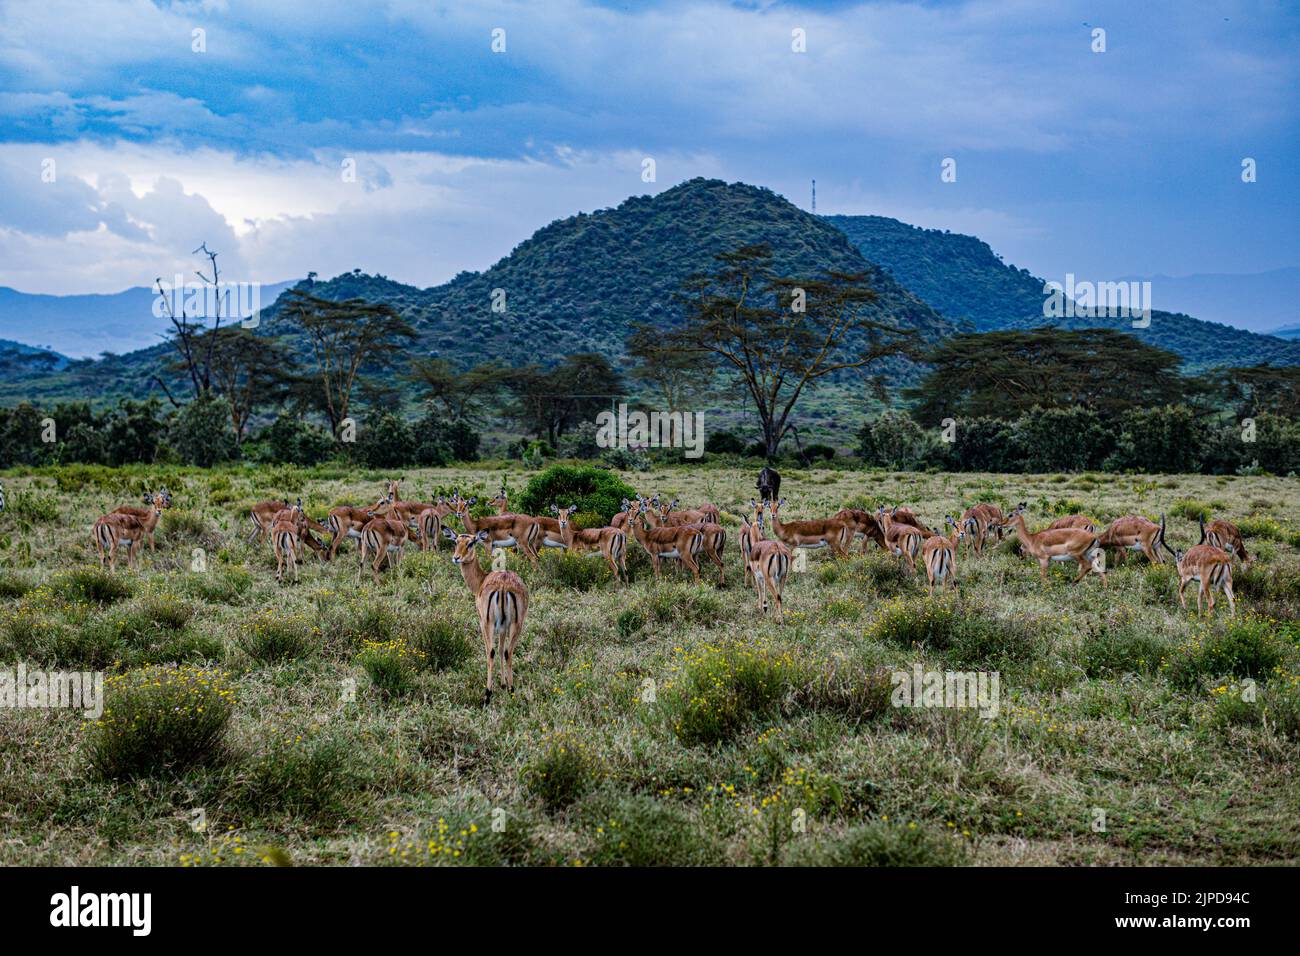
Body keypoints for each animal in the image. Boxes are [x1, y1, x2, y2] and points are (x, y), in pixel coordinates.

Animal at [444, 528, 530, 704]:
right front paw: (503, 684)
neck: (480, 581)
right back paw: (511, 690)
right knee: (508, 651)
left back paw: (487, 695)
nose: (456, 558)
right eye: (456, 541)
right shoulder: (503, 627)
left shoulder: (482, 622)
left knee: (490, 652)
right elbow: (502, 649)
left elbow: (490, 651)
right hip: (517, 624)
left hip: (489, 624)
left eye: (470, 543)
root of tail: (504, 585)